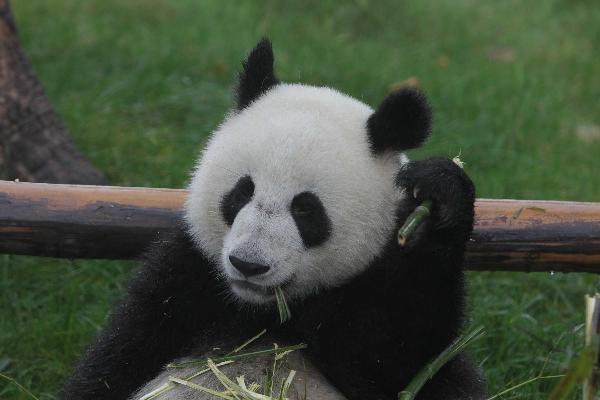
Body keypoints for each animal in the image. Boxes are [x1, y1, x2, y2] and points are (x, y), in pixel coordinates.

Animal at [61, 38, 486, 400]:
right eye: (242, 192)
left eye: (306, 209)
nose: (248, 264)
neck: (263, 311)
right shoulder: (184, 279)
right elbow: (117, 360)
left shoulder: (369, 296)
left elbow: (407, 359)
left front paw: (439, 197)